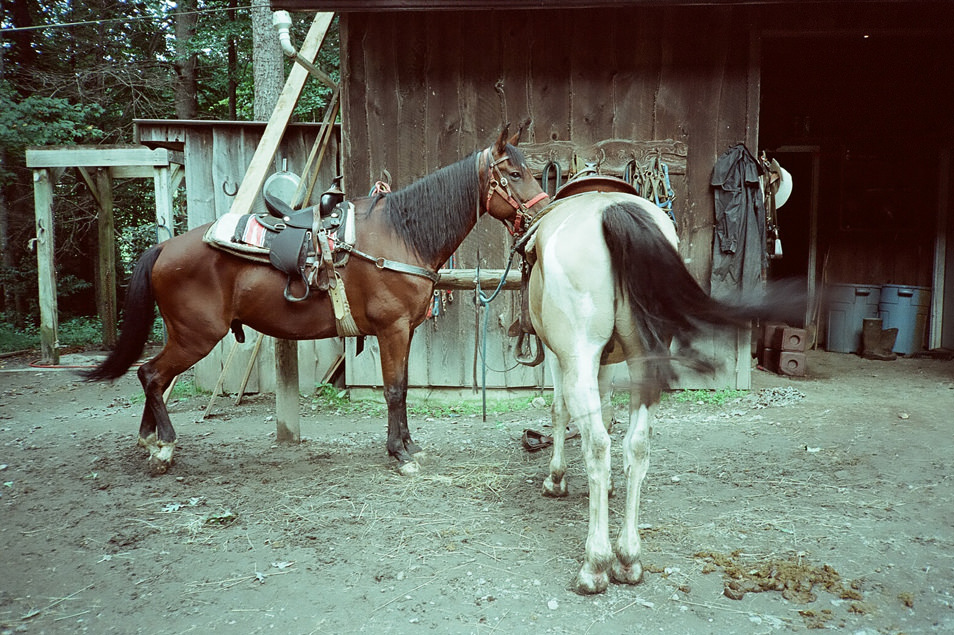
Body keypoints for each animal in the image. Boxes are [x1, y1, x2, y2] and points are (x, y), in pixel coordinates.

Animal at [85, 123, 548, 476]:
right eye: (515, 173)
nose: (542, 212)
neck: (403, 236)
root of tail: (165, 248)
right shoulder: (392, 330)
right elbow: (394, 390)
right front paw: (399, 454)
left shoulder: (406, 332)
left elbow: (401, 387)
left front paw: (408, 445)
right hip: (195, 336)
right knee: (151, 375)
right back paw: (163, 446)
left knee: (151, 377)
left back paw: (150, 443)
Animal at [524, 189, 800, 596]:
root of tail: (611, 210)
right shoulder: (608, 362)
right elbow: (607, 409)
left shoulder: (561, 358)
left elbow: (559, 411)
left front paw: (555, 479)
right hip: (643, 359)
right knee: (637, 445)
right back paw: (628, 558)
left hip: (581, 356)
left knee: (598, 445)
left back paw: (596, 564)